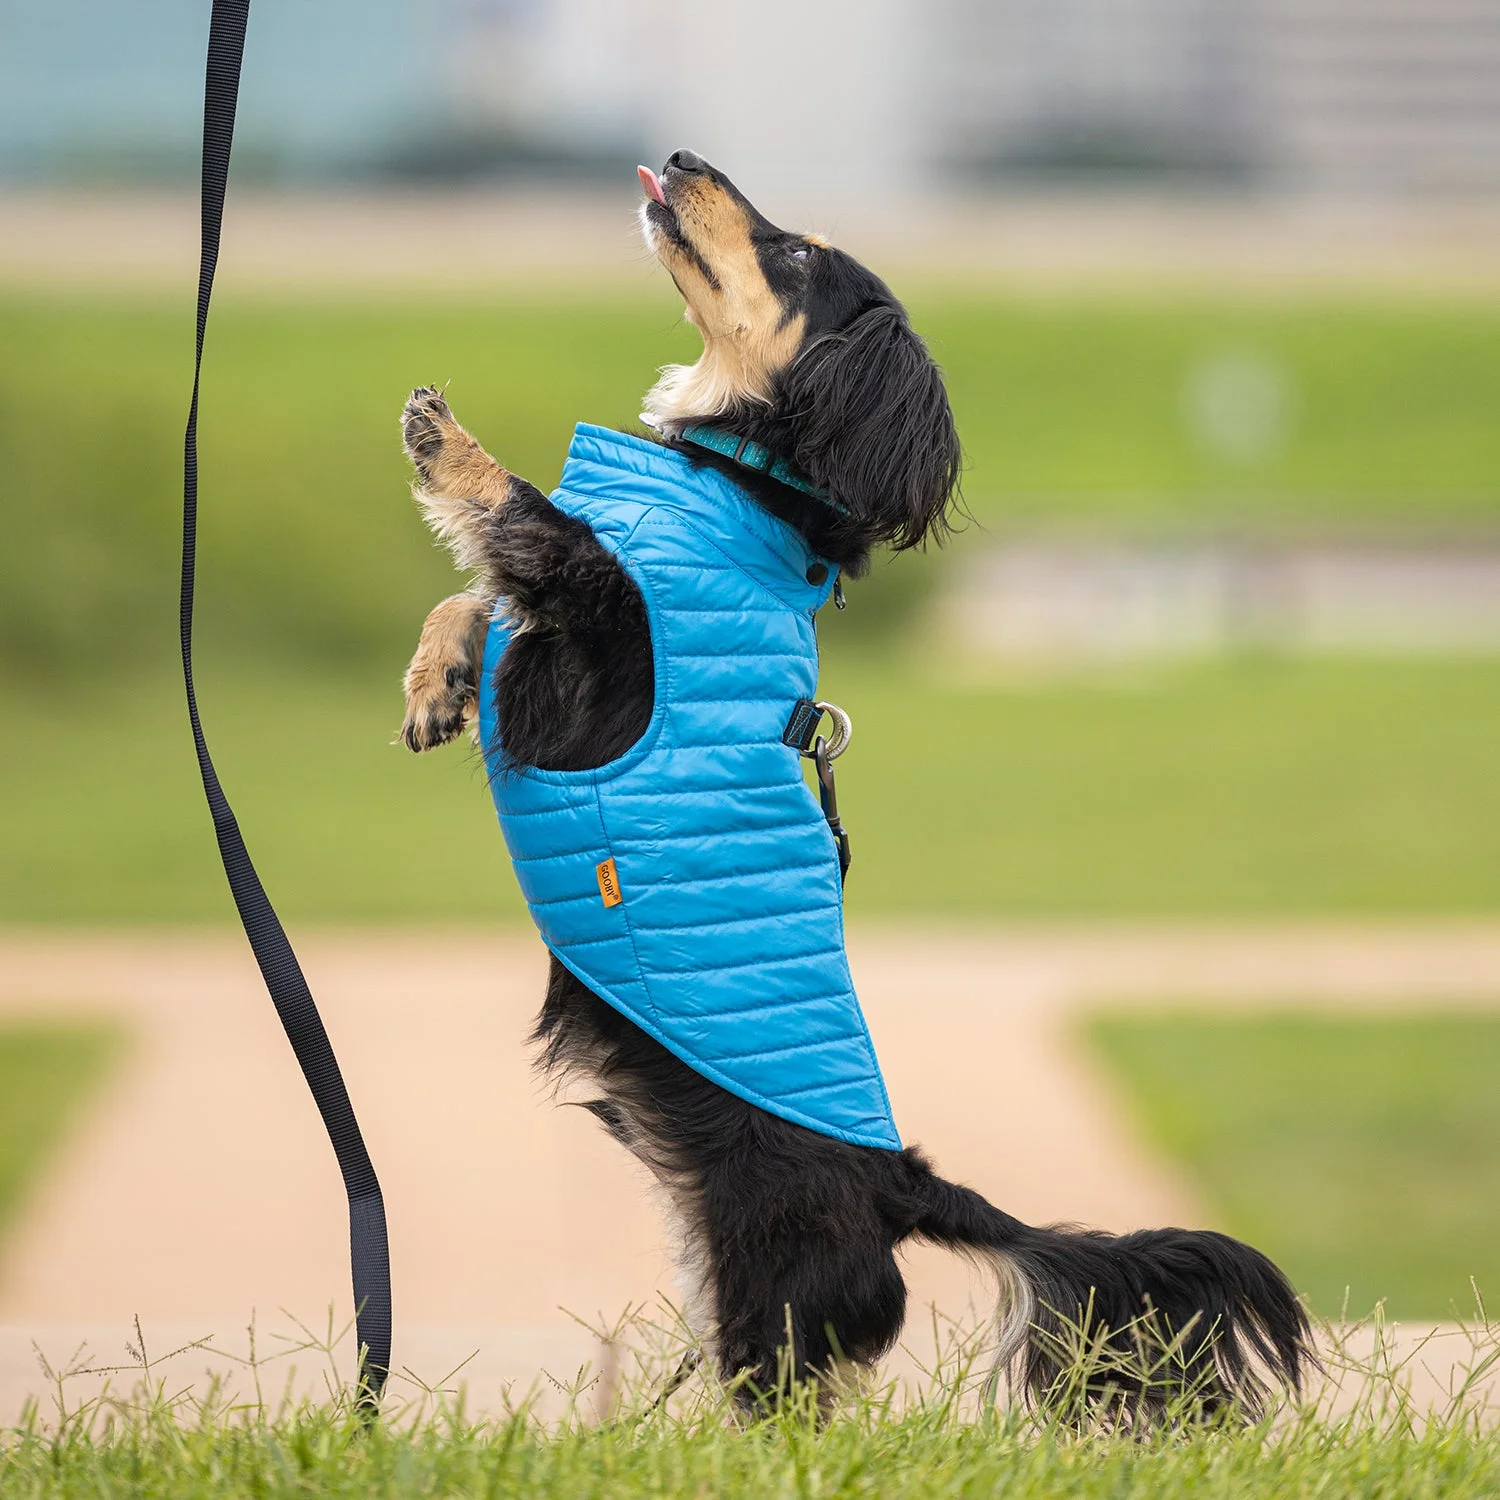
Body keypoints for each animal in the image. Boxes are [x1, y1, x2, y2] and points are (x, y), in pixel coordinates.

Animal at [397, 149, 1310, 1418]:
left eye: (794, 256)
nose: (683, 160)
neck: (741, 492)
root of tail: (900, 1184)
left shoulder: (593, 621)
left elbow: (528, 524)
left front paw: (446, 443)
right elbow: (478, 598)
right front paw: (432, 681)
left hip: (770, 1287)